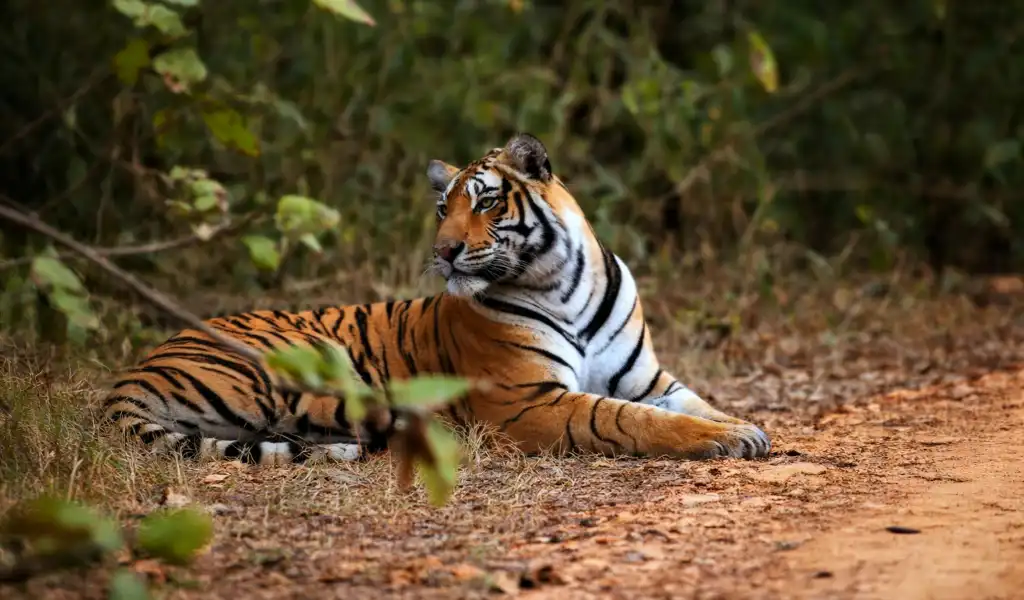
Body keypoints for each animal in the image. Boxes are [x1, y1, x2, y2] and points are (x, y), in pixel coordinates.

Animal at [103, 133, 770, 465]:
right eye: (441, 209)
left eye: (485, 202)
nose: (443, 251)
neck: (564, 284)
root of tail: (135, 371)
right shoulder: (527, 402)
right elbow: (627, 419)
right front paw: (722, 440)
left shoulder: (649, 378)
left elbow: (695, 404)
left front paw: (744, 428)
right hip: (304, 366)